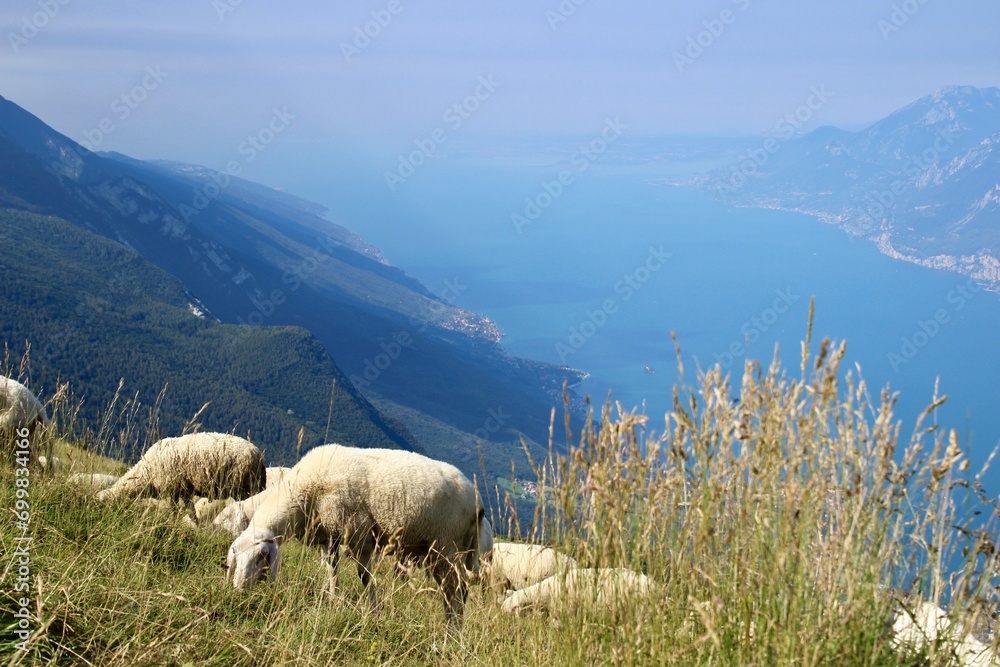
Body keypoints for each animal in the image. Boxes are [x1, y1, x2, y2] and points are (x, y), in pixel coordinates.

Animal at [225, 444, 482, 622]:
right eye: (236, 556)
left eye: (261, 557)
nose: (239, 590)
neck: (304, 492)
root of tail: (476, 501)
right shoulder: (330, 536)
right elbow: (332, 569)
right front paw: (333, 598)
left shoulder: (358, 532)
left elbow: (364, 576)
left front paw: (375, 612)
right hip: (435, 551)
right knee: (450, 591)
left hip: (447, 547)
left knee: (458, 590)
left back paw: (453, 631)